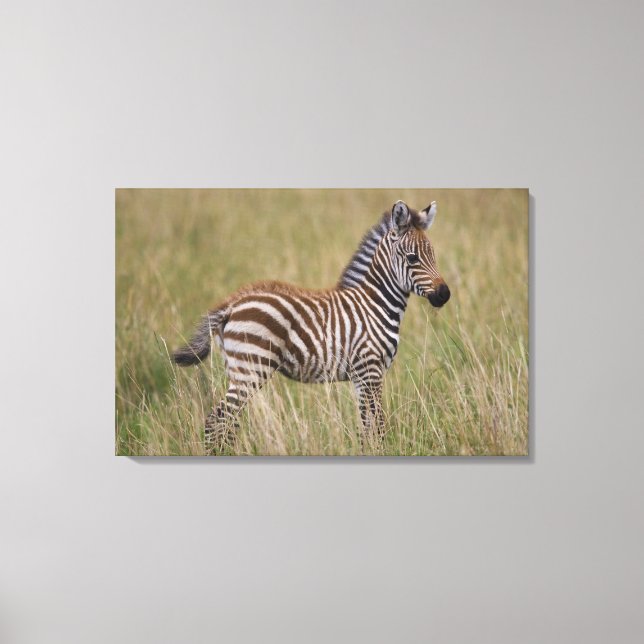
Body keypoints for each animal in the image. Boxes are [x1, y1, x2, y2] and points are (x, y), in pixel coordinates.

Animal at [173, 199, 450, 453]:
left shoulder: (361, 376)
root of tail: (232, 304)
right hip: (250, 369)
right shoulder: (370, 369)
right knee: (216, 421)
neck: (375, 303)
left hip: (238, 369)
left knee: (227, 423)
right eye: (412, 258)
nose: (444, 294)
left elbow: (367, 427)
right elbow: (377, 426)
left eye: (434, 255)